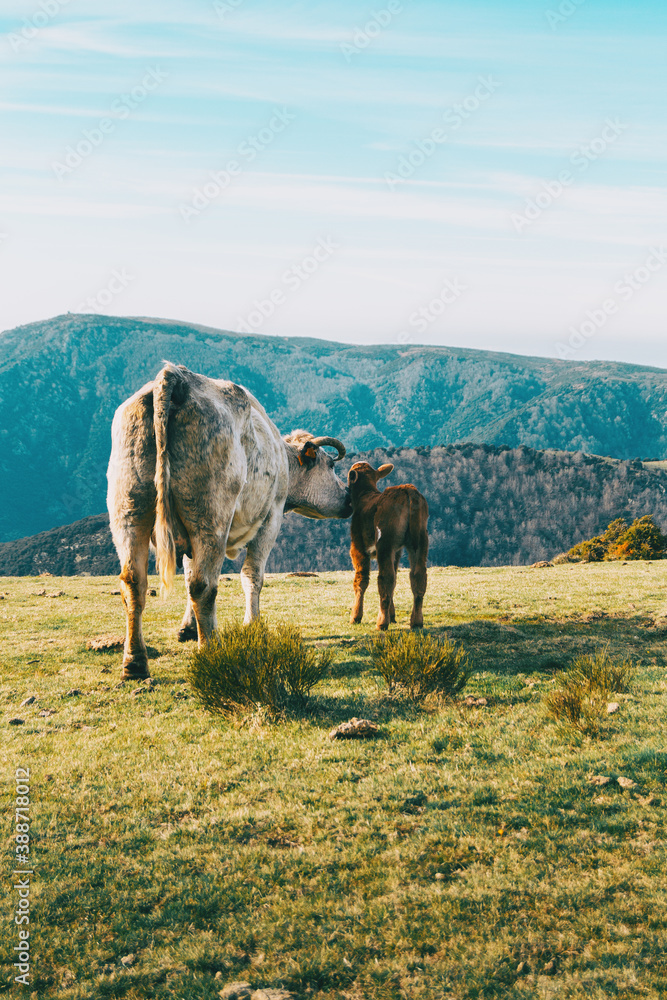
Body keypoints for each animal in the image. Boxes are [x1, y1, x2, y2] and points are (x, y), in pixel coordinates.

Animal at [107, 363, 351, 679]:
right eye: (330, 465)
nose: (348, 497)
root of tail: (175, 376)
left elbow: (188, 571)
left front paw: (188, 628)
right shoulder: (271, 518)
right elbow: (252, 575)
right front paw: (253, 625)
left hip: (129, 511)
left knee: (134, 583)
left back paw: (135, 662)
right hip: (211, 517)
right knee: (203, 584)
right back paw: (210, 652)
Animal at [347, 462, 428, 630]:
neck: (365, 494)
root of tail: (408, 489)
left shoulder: (357, 546)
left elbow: (361, 579)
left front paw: (355, 616)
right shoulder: (397, 551)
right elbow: (396, 579)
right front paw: (393, 616)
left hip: (385, 542)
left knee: (386, 578)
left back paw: (382, 622)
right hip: (420, 540)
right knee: (417, 576)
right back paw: (416, 621)